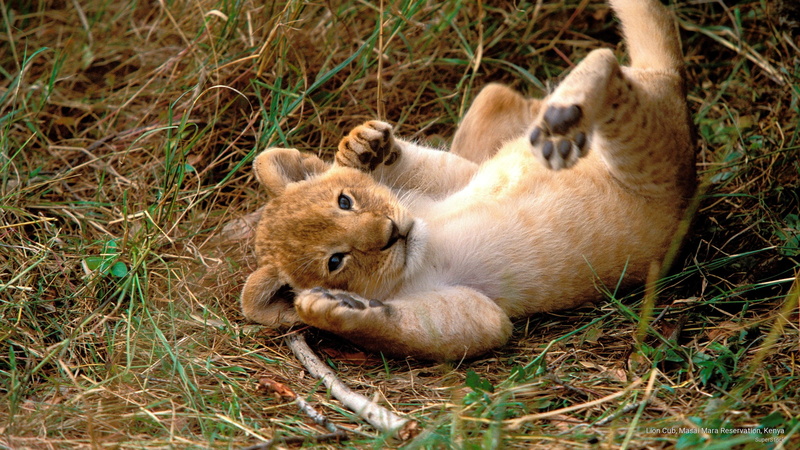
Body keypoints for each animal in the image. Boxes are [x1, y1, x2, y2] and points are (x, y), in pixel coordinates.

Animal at [240, 0, 696, 360]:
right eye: (335, 261)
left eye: (344, 201)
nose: (391, 232)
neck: (426, 235)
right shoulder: (478, 309)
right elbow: (425, 331)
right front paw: (333, 310)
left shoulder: (456, 179)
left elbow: (431, 166)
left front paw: (363, 149)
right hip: (652, 154)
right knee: (608, 66)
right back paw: (562, 117)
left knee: (597, 62)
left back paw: (560, 114)